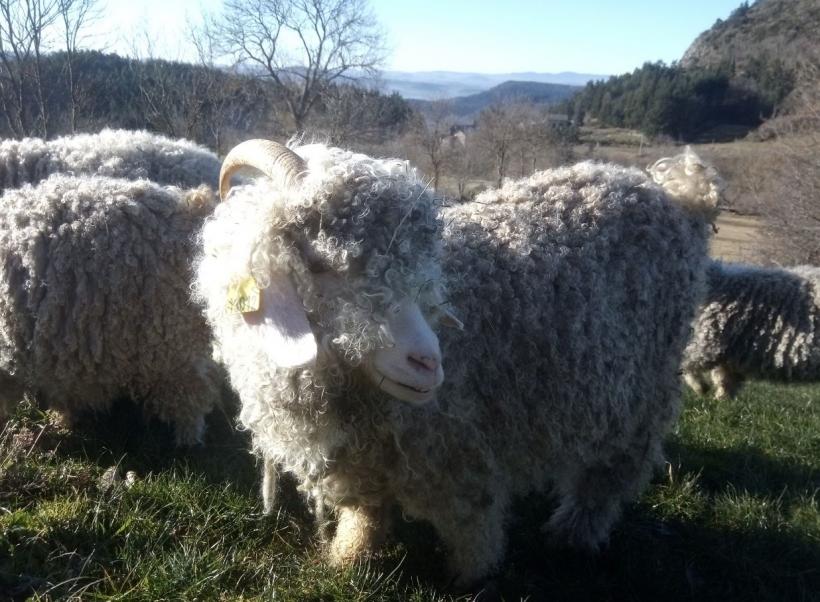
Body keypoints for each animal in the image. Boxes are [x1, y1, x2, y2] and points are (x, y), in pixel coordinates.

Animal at [195, 139, 720, 580]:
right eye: (319, 265)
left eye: (420, 267)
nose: (428, 364)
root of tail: (678, 197)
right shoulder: (367, 460)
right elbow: (364, 515)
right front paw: (350, 558)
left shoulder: (464, 455)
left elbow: (474, 527)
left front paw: (472, 577)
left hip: (645, 393)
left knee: (611, 474)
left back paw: (573, 535)